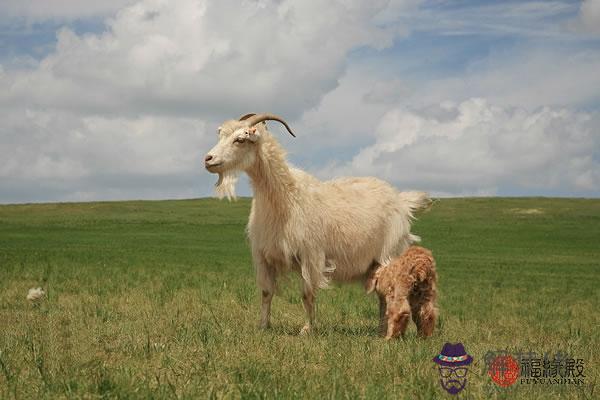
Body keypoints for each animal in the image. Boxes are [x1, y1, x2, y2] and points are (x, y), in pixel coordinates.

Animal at [204, 113, 428, 334]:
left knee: (390, 293)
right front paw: (263, 326)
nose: (208, 159)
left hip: (390, 253)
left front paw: (307, 329)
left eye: (240, 139)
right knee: (382, 295)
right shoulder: (263, 255)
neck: (285, 197)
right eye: (220, 135)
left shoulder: (310, 255)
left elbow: (307, 294)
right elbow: (266, 292)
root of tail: (401, 201)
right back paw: (380, 330)